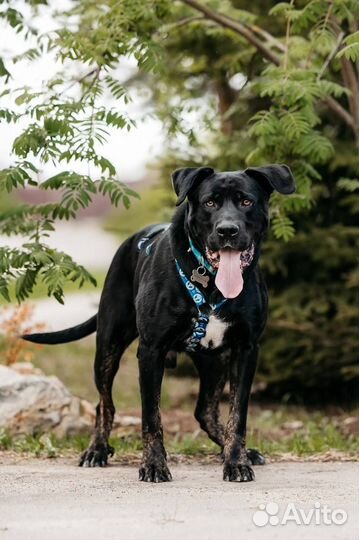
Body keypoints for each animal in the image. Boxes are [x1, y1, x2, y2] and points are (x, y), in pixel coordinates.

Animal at [23, 163, 296, 480]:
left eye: (246, 201)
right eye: (210, 203)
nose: (227, 230)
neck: (209, 283)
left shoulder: (246, 349)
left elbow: (237, 415)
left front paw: (237, 461)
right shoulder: (151, 351)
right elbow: (151, 417)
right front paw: (153, 464)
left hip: (214, 361)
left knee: (204, 411)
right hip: (108, 347)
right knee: (104, 403)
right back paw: (97, 450)